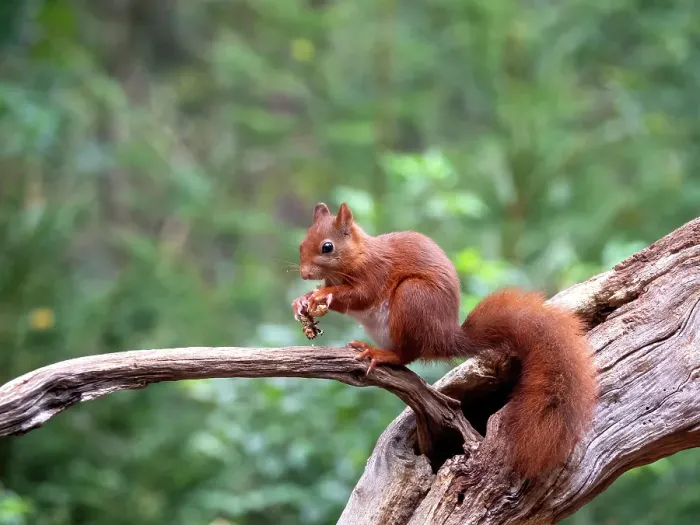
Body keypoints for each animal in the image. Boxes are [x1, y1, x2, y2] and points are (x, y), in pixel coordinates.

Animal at [292, 202, 597, 478]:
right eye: (301, 244)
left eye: (327, 247)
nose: (305, 274)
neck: (358, 254)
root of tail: (443, 336)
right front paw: (302, 300)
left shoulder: (375, 273)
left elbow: (360, 295)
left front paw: (321, 296)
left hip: (412, 298)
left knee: (406, 355)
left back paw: (380, 354)